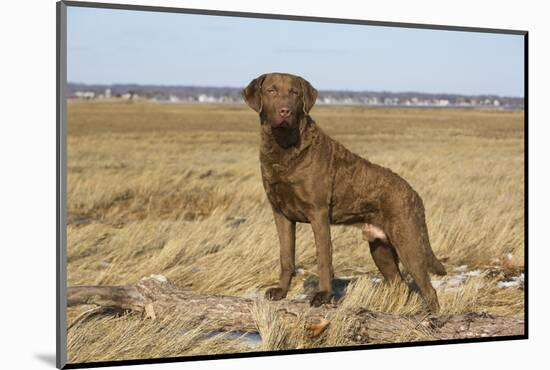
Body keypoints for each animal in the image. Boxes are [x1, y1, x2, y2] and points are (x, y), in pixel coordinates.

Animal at [243, 72, 448, 312]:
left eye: (294, 93)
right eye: (271, 91)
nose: (285, 111)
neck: (284, 148)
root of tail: (415, 194)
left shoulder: (318, 213)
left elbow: (324, 256)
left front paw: (323, 295)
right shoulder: (280, 214)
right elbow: (286, 256)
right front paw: (280, 291)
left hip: (408, 240)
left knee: (428, 288)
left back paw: (432, 315)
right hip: (380, 248)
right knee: (400, 284)